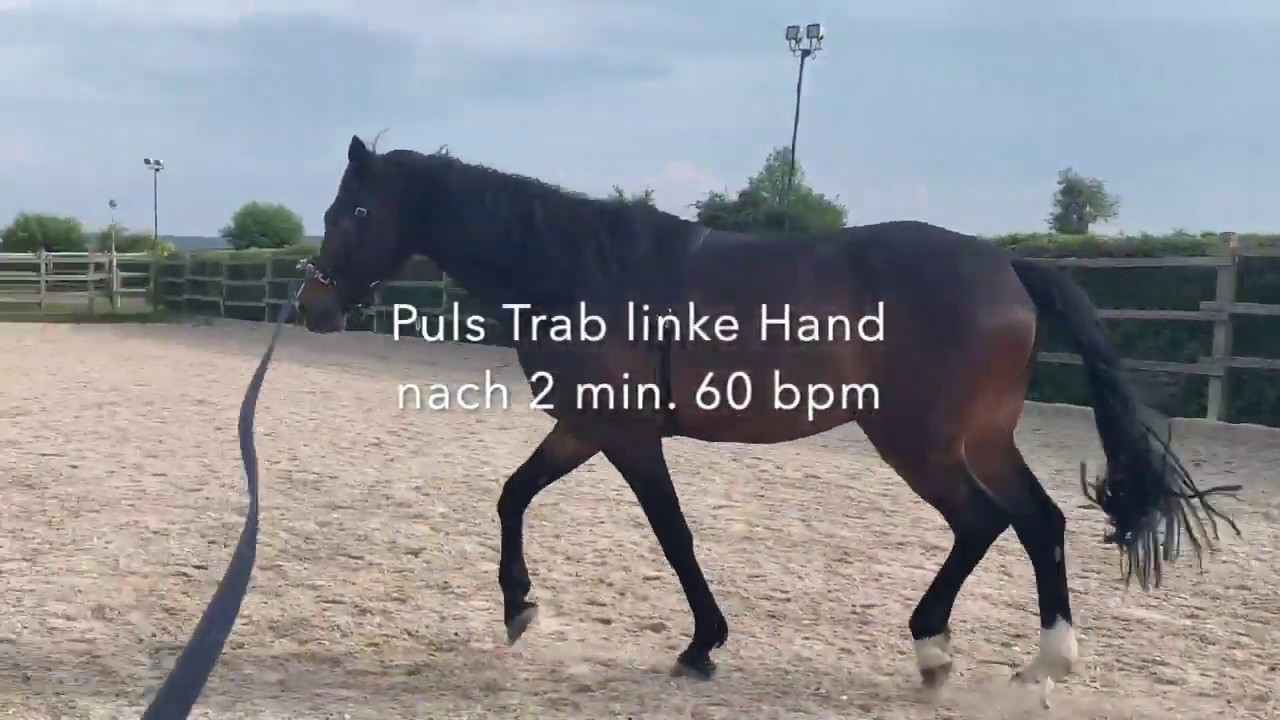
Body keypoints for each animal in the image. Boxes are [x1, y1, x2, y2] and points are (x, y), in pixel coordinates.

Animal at [296, 135, 1240, 703]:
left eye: (355, 210)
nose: (311, 306)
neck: (581, 269)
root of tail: (1005, 265)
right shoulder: (584, 428)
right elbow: (512, 496)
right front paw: (521, 609)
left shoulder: (625, 436)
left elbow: (672, 534)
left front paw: (701, 644)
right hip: (978, 438)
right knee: (1036, 521)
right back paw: (1038, 659)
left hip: (918, 441)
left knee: (985, 521)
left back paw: (939, 650)